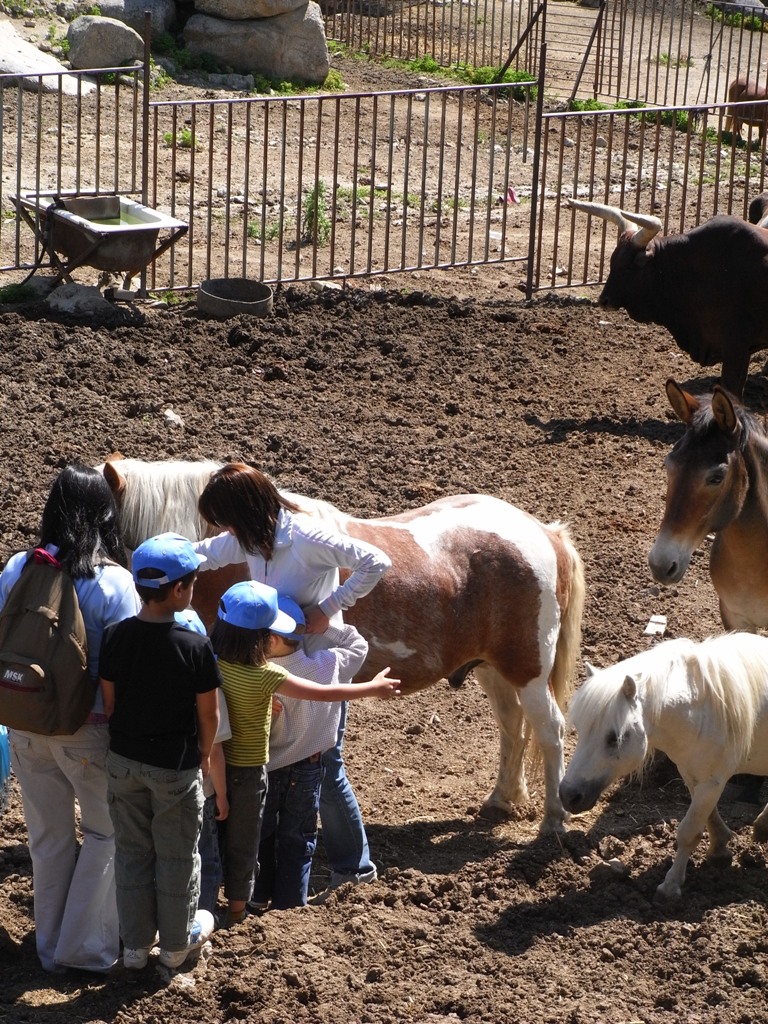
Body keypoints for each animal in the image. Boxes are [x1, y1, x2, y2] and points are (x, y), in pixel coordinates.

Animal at [100, 456, 581, 831]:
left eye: (106, 529)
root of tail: (543, 532)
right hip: (492, 668)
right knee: (512, 725)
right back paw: (502, 800)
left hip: (528, 670)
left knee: (550, 730)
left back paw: (554, 820)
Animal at [561, 634, 768, 901]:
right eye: (580, 729)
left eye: (614, 738)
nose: (567, 796)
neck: (701, 712)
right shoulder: (694, 776)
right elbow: (707, 817)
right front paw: (719, 848)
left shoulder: (712, 782)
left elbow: (688, 831)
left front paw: (670, 886)